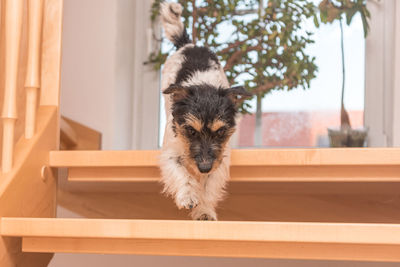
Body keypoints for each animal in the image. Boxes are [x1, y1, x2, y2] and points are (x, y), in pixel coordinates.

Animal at [159, 1, 250, 222]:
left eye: (220, 131)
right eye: (191, 131)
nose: (204, 168)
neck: (203, 84)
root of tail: (188, 44)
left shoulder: (220, 159)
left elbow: (209, 188)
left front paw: (204, 211)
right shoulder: (171, 153)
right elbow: (181, 174)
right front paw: (188, 196)